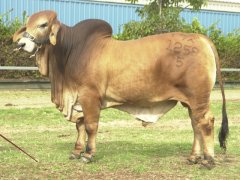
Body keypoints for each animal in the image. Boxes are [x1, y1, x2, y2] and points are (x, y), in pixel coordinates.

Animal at [13, 9, 229, 167]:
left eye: (43, 24)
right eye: (28, 23)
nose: (21, 44)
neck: (70, 52)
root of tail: (201, 38)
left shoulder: (89, 96)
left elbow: (90, 126)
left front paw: (88, 154)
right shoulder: (78, 100)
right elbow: (80, 125)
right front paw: (76, 151)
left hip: (199, 98)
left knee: (206, 122)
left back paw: (209, 160)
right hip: (190, 101)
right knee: (195, 124)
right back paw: (194, 157)